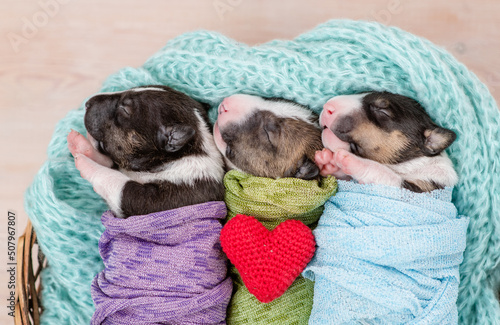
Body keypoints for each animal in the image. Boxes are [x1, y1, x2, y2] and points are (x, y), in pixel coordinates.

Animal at [67, 86, 224, 216]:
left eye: (125, 110)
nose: (88, 103)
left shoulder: (151, 200)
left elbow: (112, 178)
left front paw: (85, 163)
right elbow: (110, 164)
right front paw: (81, 145)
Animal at [318, 91, 458, 191]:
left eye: (383, 111)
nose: (327, 107)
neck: (412, 164)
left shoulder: (422, 188)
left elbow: (382, 172)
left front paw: (353, 161)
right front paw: (328, 163)